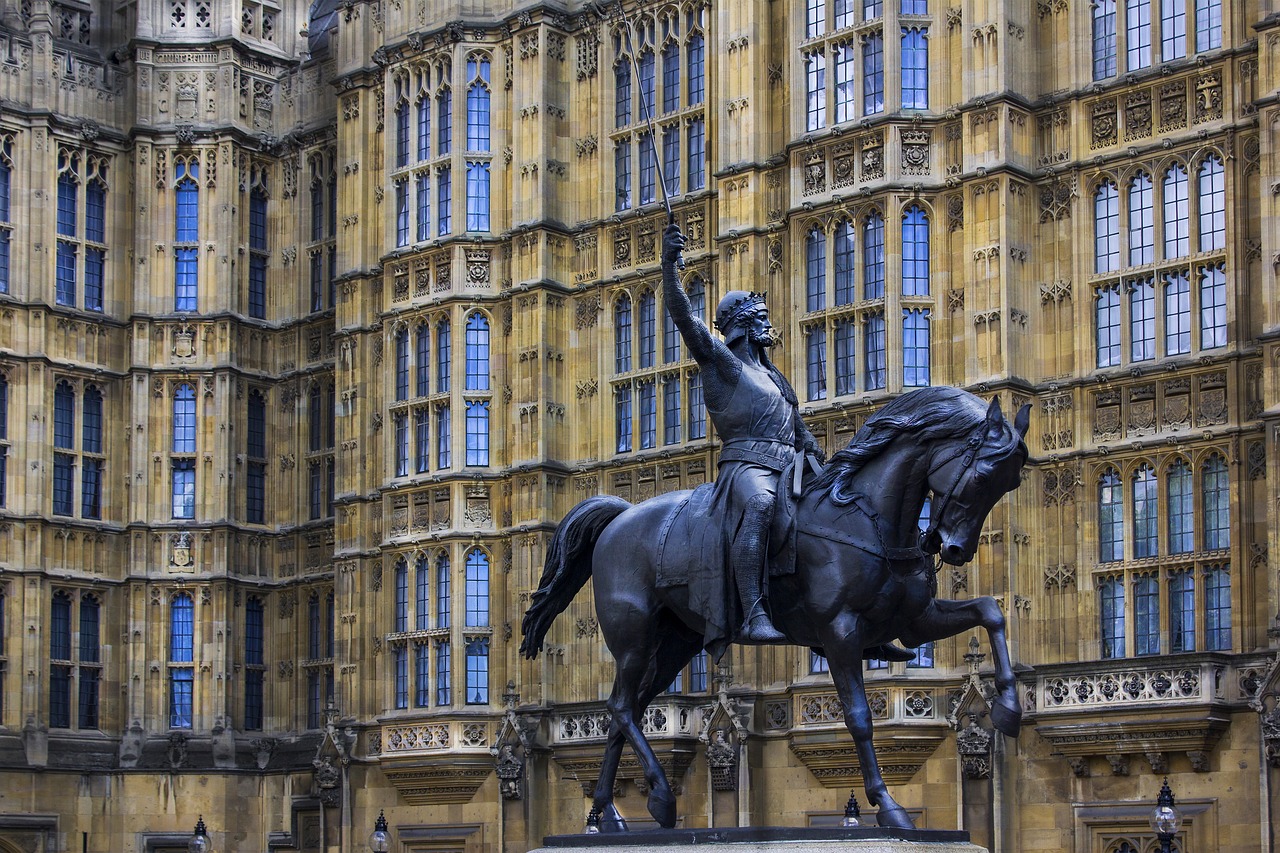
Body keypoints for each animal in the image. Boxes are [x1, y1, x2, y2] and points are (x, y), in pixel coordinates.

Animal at [519, 384, 1029, 829]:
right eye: (984, 475)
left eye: (1011, 484)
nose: (954, 549)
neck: (865, 516)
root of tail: (621, 516)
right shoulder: (839, 631)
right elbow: (859, 717)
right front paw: (887, 805)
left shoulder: (913, 622)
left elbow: (991, 611)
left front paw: (1007, 708)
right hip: (635, 636)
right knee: (621, 707)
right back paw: (658, 797)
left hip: (674, 643)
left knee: (622, 712)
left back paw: (610, 813)